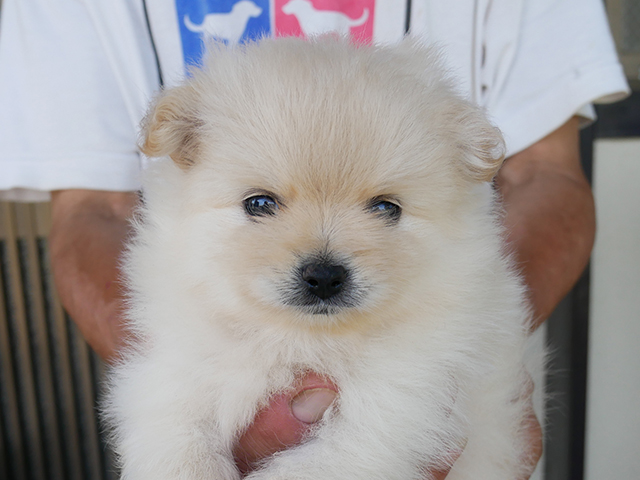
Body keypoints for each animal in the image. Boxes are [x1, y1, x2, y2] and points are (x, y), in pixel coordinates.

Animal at [106, 38, 540, 480]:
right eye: (259, 203)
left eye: (387, 208)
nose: (325, 276)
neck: (302, 340)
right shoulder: (177, 363)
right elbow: (174, 421)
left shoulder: (403, 398)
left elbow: (323, 462)